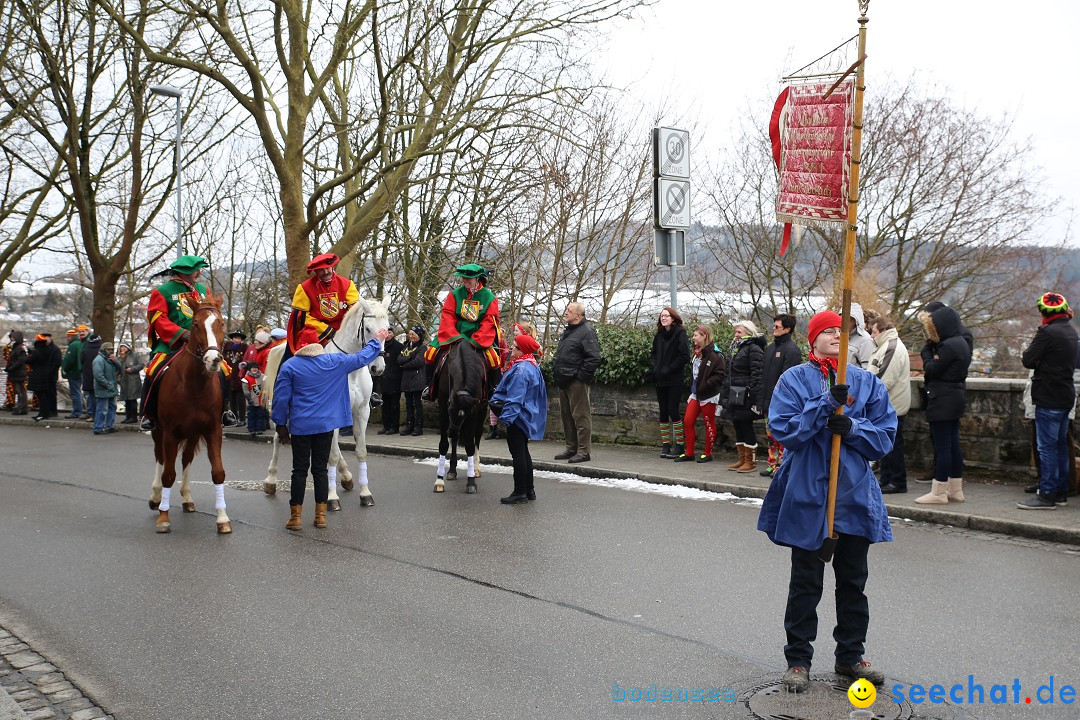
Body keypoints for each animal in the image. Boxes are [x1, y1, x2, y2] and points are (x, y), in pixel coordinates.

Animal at [147, 291, 232, 535]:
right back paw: (156, 498)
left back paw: (186, 498)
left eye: (221, 323)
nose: (214, 360)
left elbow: (218, 472)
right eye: (195, 324)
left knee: (185, 459)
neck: (195, 386)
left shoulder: (213, 430)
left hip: (193, 434)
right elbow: (168, 474)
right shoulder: (170, 433)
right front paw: (163, 518)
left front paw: (222, 518)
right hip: (158, 431)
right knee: (160, 457)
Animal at [260, 295, 388, 509]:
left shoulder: (361, 412)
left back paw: (346, 477)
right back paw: (270, 480)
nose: (378, 368)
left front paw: (365, 493)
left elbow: (360, 452)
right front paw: (332, 497)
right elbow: (332, 455)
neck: (350, 369)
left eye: (388, 328)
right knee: (278, 437)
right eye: (368, 328)